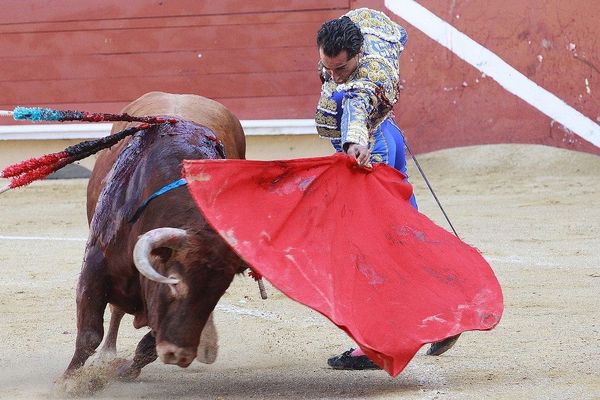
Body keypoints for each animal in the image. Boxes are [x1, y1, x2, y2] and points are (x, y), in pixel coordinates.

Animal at [62, 92, 247, 382]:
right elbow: (89, 335)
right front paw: (68, 382)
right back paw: (107, 354)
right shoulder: (94, 268)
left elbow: (148, 346)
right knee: (115, 314)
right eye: (175, 284)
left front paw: (125, 371)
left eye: (217, 294)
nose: (179, 354)